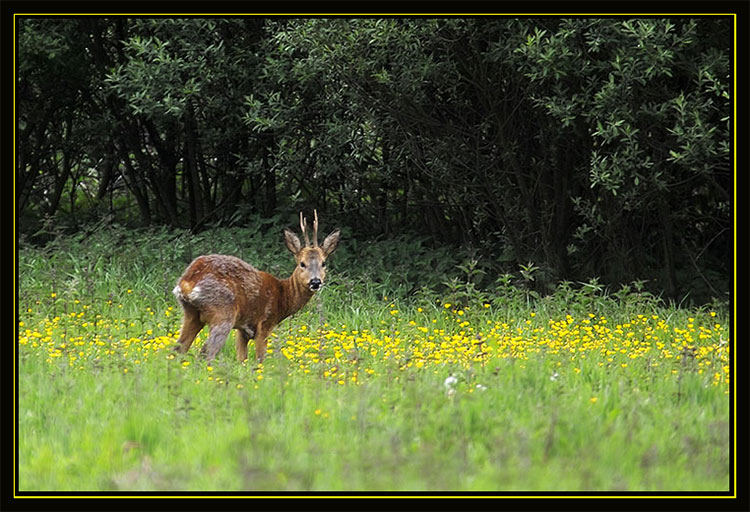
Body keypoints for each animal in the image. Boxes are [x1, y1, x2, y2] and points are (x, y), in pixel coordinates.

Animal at [173, 212, 340, 364]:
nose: (315, 281)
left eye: (323, 263)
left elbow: (242, 359)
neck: (282, 296)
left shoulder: (243, 329)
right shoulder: (265, 324)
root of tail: (187, 282)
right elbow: (260, 360)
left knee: (178, 349)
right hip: (222, 311)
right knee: (207, 354)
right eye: (302, 263)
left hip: (191, 314)